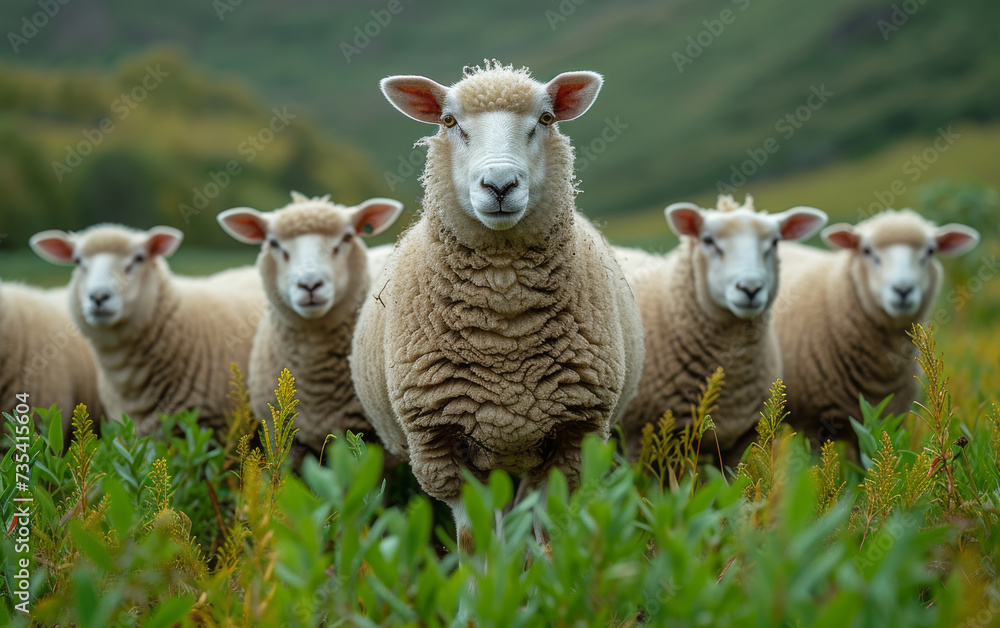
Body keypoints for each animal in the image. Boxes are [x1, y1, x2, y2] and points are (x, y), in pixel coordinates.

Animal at [350, 60, 645, 549]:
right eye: (449, 122)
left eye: (546, 118)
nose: (500, 185)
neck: (505, 325)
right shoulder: (441, 445)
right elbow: (476, 540)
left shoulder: (573, 437)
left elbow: (546, 535)